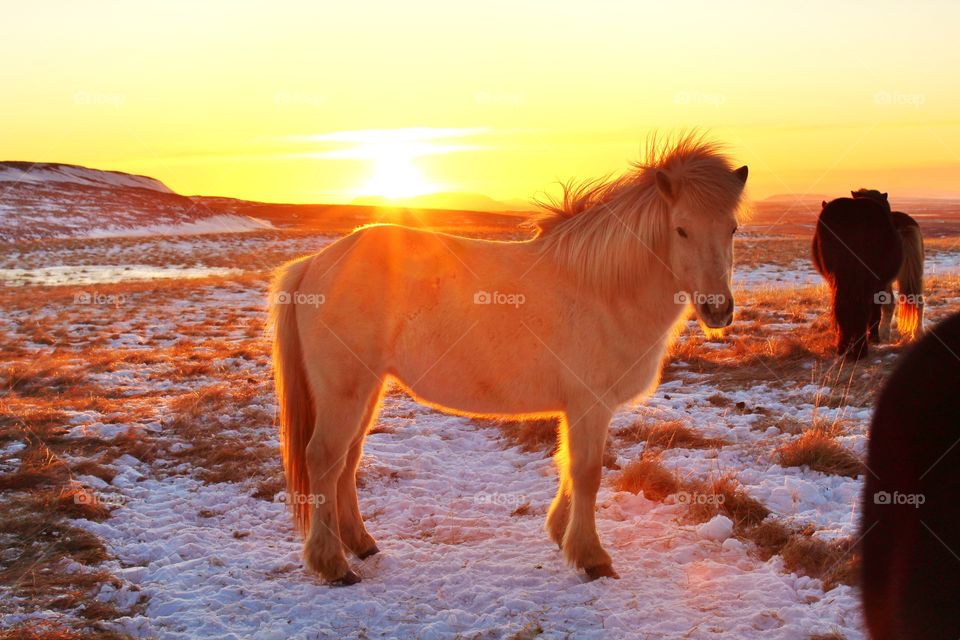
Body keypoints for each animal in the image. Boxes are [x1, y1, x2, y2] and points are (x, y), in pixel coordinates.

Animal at [270, 136, 752, 584]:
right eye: (681, 229)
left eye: (732, 229)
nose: (717, 310)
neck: (602, 290)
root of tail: (314, 265)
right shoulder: (590, 405)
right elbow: (587, 472)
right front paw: (592, 557)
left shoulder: (578, 408)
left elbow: (567, 464)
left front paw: (561, 534)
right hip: (345, 390)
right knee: (325, 459)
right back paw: (333, 564)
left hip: (368, 387)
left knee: (347, 461)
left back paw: (361, 544)